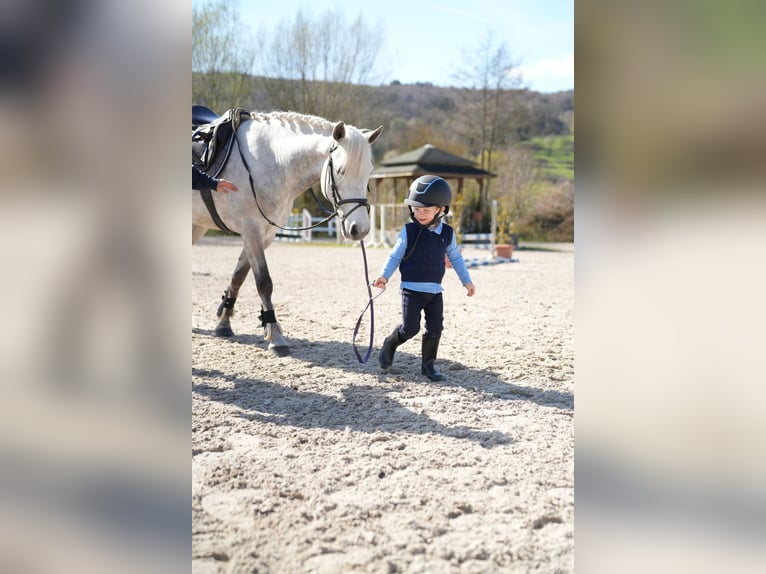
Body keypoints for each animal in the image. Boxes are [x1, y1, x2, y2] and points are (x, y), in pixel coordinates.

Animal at [192, 110, 383, 356]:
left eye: (368, 172)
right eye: (340, 171)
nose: (360, 229)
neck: (270, 160)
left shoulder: (264, 234)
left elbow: (239, 276)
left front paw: (224, 324)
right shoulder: (251, 230)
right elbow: (264, 282)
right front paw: (275, 336)